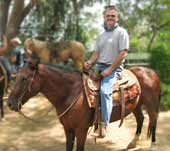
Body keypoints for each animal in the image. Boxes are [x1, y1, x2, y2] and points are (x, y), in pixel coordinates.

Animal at [7, 59, 161, 151]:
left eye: (24, 78)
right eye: (16, 76)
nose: (10, 103)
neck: (70, 93)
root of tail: (152, 72)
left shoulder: (81, 130)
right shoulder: (68, 129)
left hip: (151, 105)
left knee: (153, 121)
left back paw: (153, 145)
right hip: (136, 105)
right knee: (141, 119)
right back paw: (132, 143)